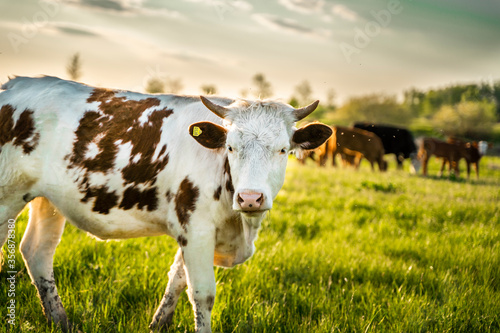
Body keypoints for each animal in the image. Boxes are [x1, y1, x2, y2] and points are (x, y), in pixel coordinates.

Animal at [0, 76, 332, 332]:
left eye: (283, 149)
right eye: (230, 147)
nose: (250, 198)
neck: (239, 226)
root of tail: (13, 85)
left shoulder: (197, 233)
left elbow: (176, 280)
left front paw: (158, 324)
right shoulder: (196, 228)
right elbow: (202, 293)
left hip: (47, 200)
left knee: (37, 251)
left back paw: (60, 322)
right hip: (8, 195)